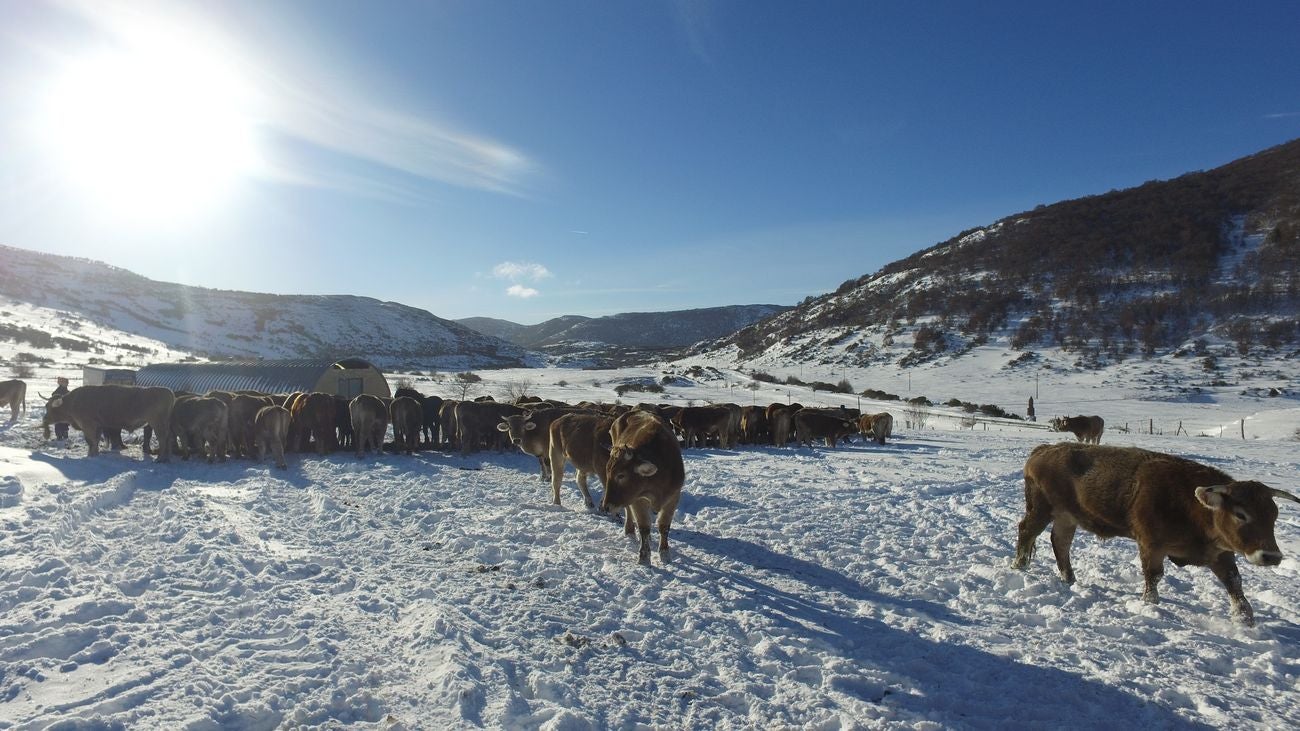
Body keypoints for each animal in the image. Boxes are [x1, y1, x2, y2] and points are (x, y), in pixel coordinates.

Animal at [41, 385, 172, 457]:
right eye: (45, 406)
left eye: (50, 408)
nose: (44, 418)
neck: (73, 402)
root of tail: (169, 391)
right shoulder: (98, 426)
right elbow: (95, 441)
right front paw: (94, 453)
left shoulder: (88, 426)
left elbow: (91, 441)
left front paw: (91, 455)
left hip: (157, 423)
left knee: (162, 439)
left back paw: (160, 459)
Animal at [603, 411, 686, 564]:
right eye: (608, 473)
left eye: (621, 475)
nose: (606, 507)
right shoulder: (638, 499)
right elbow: (644, 527)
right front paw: (644, 556)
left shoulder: (674, 497)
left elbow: (664, 526)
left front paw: (664, 553)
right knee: (629, 511)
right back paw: (630, 530)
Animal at [1013, 442, 1300, 624]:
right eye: (1241, 514)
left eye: (1274, 515)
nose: (1271, 556)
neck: (1190, 505)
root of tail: (1044, 449)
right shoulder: (1151, 545)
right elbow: (1153, 577)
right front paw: (1150, 605)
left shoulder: (1220, 553)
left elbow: (1234, 582)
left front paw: (1244, 618)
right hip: (1042, 509)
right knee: (1027, 532)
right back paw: (1019, 566)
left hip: (1067, 517)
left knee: (1060, 543)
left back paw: (1069, 579)